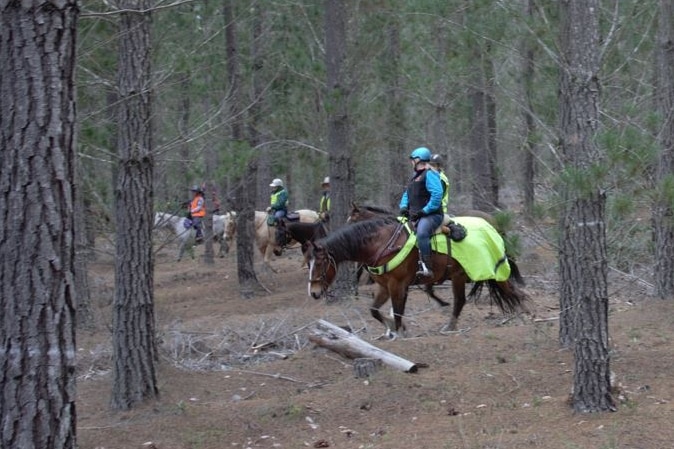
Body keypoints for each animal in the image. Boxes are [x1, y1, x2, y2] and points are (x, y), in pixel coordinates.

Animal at [306, 216, 532, 336]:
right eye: (307, 263)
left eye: (320, 263)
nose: (314, 292)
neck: (383, 244)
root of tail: (491, 228)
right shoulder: (383, 287)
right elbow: (374, 310)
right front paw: (391, 327)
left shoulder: (397, 285)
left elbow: (398, 312)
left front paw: (399, 331)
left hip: (474, 273)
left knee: (494, 294)